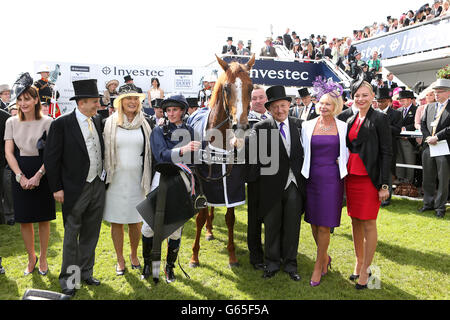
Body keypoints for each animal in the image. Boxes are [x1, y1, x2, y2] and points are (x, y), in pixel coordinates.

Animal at [188, 54, 255, 268]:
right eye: (226, 88)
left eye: (251, 87)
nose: (240, 126)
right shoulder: (204, 181)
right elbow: (200, 217)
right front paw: (194, 256)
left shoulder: (232, 184)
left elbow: (230, 218)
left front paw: (232, 256)